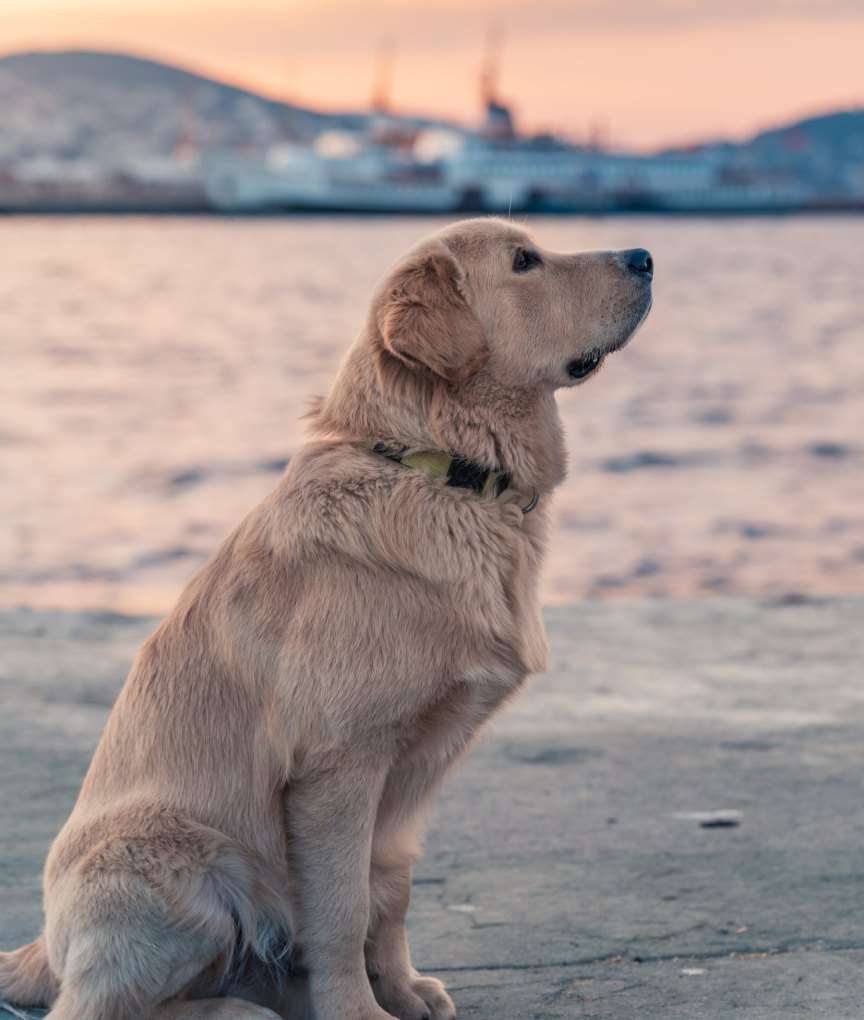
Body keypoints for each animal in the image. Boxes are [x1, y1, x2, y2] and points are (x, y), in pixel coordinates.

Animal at [0, 217, 648, 1020]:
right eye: (524, 262)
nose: (645, 256)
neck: (441, 473)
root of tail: (40, 946)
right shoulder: (339, 764)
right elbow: (341, 909)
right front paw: (357, 1010)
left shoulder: (409, 781)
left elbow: (389, 894)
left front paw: (401, 989)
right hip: (181, 868)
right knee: (92, 1007)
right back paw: (235, 1011)